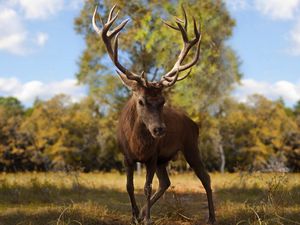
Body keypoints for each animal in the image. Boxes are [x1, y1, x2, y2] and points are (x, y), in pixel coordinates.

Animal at [92, 3, 216, 225]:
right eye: (141, 101)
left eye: (163, 101)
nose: (159, 129)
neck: (138, 145)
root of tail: (194, 123)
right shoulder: (127, 156)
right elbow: (129, 186)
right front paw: (135, 216)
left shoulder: (152, 156)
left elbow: (147, 187)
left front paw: (147, 218)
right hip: (164, 159)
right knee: (166, 182)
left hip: (190, 145)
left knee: (205, 177)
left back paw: (211, 217)